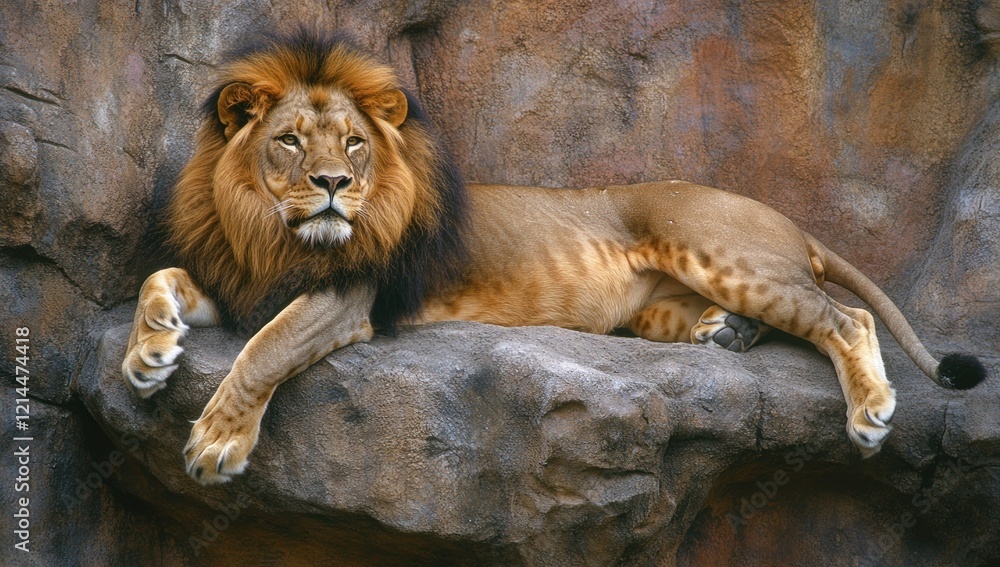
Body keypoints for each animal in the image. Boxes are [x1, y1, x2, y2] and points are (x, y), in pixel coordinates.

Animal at [122, 30, 985, 485]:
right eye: (292, 141)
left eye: (355, 144)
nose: (334, 184)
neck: (266, 229)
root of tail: (788, 220)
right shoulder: (238, 279)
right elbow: (159, 277)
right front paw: (148, 353)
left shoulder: (348, 296)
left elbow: (265, 350)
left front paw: (216, 442)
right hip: (659, 306)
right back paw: (727, 334)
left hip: (720, 250)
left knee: (850, 318)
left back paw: (869, 413)